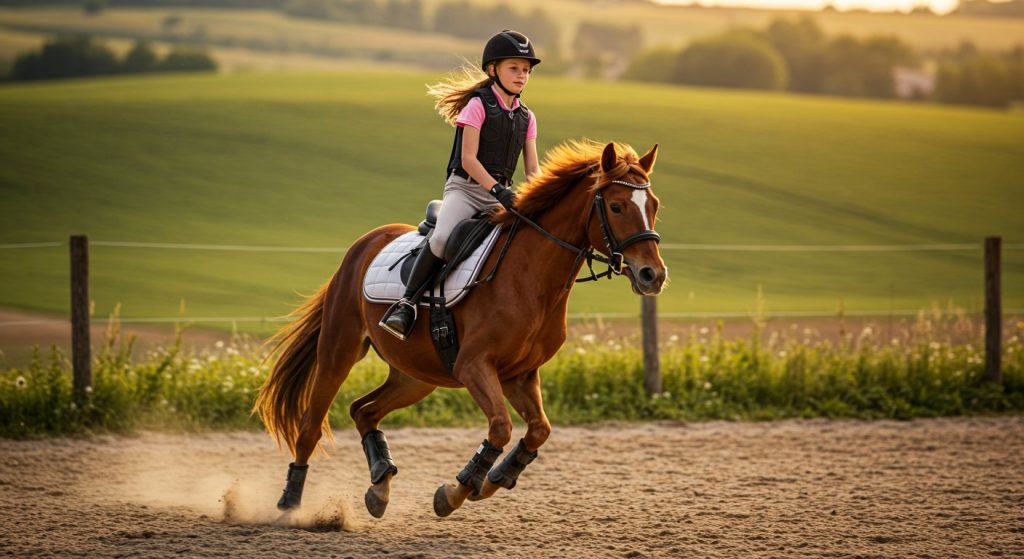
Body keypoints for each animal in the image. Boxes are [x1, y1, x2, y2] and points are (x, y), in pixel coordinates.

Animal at [254, 139, 668, 519]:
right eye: (616, 206)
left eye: (653, 206)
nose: (653, 275)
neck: (531, 278)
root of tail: (364, 244)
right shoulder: (474, 366)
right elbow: (500, 427)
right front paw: (457, 491)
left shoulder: (519, 374)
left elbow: (539, 430)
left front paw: (497, 477)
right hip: (339, 351)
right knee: (311, 426)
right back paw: (290, 502)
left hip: (416, 375)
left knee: (364, 411)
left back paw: (380, 486)